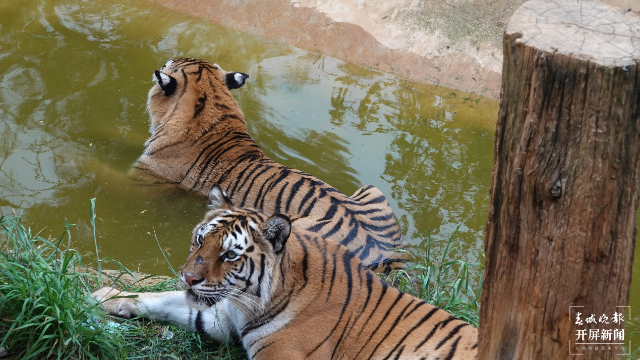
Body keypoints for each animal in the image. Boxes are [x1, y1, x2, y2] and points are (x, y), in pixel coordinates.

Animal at [92, 186, 478, 360]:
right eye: (200, 240)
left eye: (230, 255)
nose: (188, 278)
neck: (247, 301)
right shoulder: (220, 318)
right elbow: (162, 300)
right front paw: (106, 297)